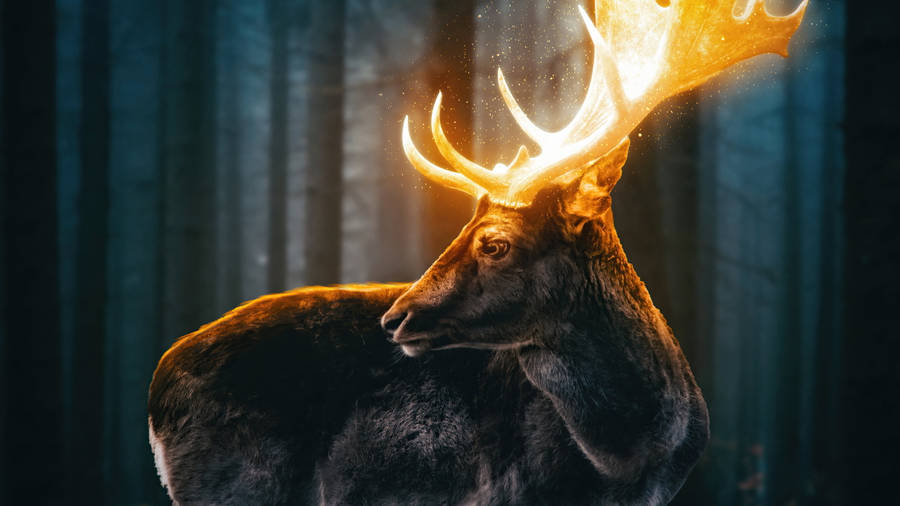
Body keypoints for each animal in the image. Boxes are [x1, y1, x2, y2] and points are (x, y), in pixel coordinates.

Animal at [148, 1, 807, 504]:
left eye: (494, 241)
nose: (395, 318)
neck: (628, 456)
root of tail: (157, 388)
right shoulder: (507, 489)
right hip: (236, 482)